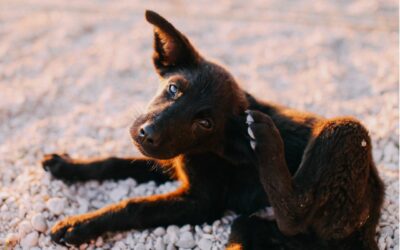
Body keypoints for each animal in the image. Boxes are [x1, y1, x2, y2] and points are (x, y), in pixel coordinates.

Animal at [41, 10, 384, 250]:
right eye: (174, 88)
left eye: (205, 123)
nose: (147, 133)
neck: (207, 148)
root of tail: (373, 213)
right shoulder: (169, 161)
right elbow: (114, 162)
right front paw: (66, 165)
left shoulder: (201, 203)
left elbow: (136, 206)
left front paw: (80, 225)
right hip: (256, 226)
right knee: (253, 231)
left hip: (346, 133)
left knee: (295, 213)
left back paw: (265, 139)